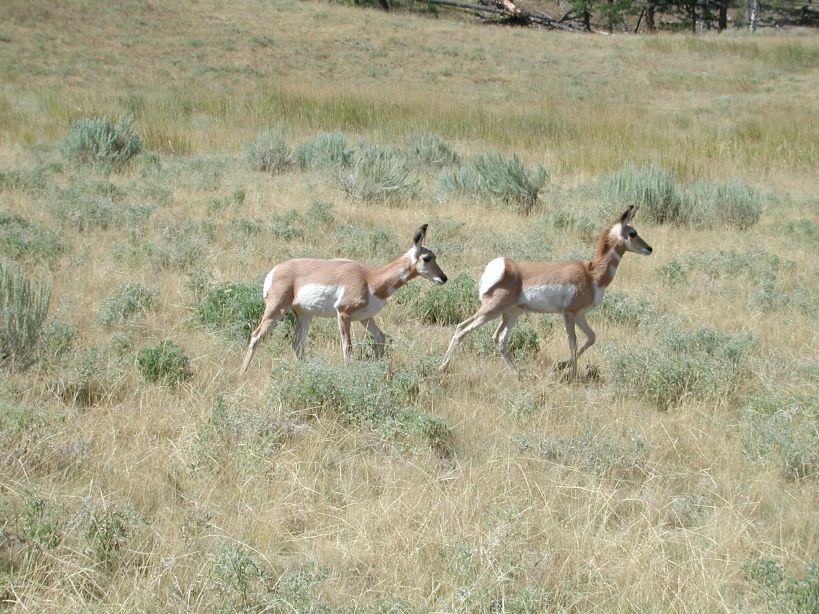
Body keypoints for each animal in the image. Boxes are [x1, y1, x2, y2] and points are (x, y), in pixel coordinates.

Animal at [240, 224, 447, 374]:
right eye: (427, 258)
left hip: (305, 316)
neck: (370, 278)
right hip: (276, 310)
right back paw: (242, 373)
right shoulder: (344, 315)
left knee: (298, 344)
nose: (443, 278)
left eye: (435, 256)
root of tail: (276, 269)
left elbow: (381, 337)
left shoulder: (365, 318)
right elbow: (347, 348)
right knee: (256, 335)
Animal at [438, 206, 652, 379]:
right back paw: (442, 367)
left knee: (499, 339)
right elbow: (573, 342)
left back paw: (518, 374)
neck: (591, 273)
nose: (649, 248)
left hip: (511, 314)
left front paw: (561, 366)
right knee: (462, 329)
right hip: (491, 311)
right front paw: (571, 373)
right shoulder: (569, 314)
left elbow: (591, 338)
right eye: (633, 232)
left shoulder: (580, 315)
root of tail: (503, 266)